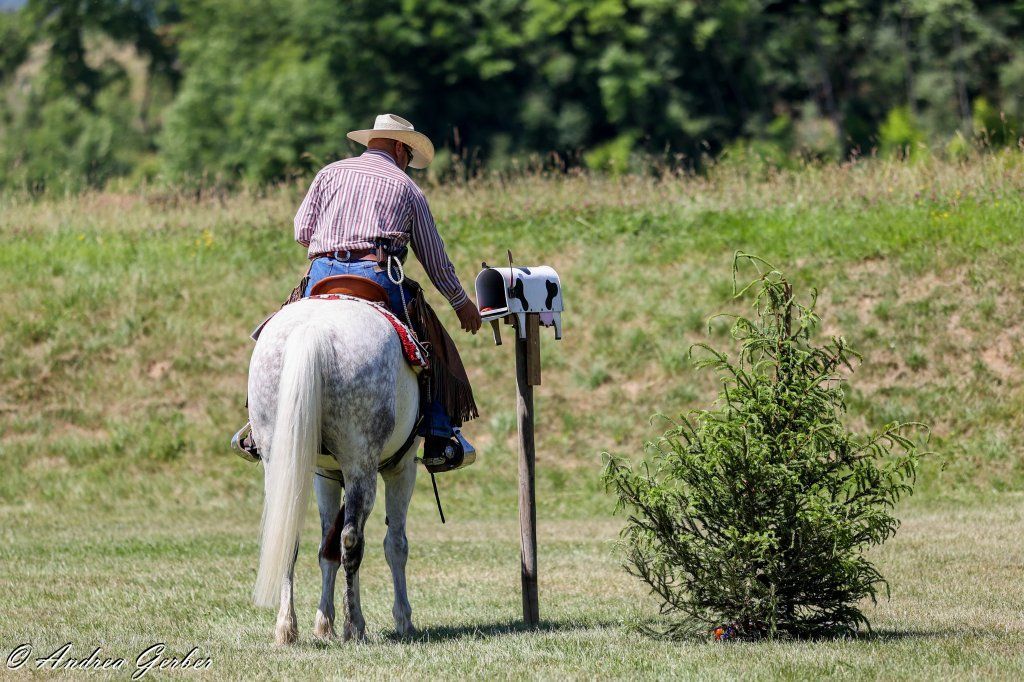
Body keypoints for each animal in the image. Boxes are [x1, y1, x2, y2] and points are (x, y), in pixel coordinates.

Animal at [246, 296, 420, 643]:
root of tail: (313, 329)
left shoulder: (322, 476)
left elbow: (325, 549)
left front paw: (323, 622)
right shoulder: (403, 469)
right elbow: (395, 545)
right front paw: (403, 619)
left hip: (281, 461)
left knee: (289, 535)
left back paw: (286, 627)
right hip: (361, 465)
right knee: (352, 541)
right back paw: (355, 626)